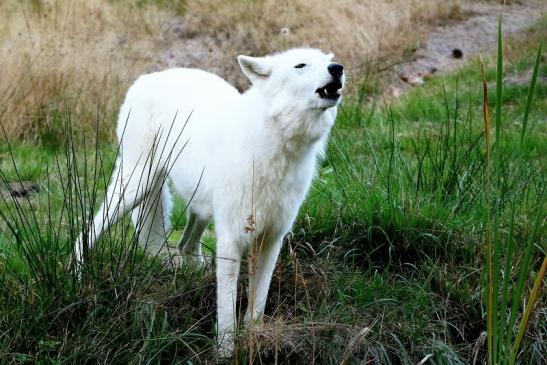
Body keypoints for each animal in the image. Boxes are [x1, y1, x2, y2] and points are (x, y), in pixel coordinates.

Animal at [75, 47, 344, 354]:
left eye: (325, 62)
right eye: (300, 65)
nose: (338, 68)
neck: (276, 148)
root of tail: (145, 78)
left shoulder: (271, 239)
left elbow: (257, 303)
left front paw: (254, 341)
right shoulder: (230, 240)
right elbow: (226, 310)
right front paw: (225, 351)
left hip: (198, 208)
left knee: (185, 246)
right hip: (135, 187)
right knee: (85, 234)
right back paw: (79, 278)